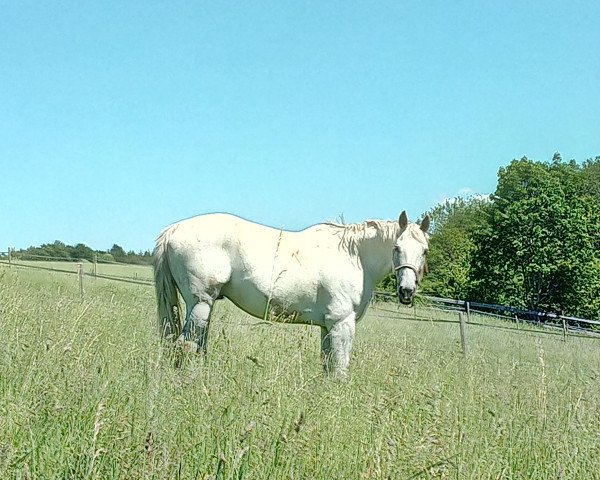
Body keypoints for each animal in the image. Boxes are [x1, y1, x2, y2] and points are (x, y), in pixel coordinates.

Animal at [152, 211, 428, 376]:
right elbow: (340, 368)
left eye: (424, 250)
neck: (354, 256)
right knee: (186, 346)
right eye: (396, 248)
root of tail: (173, 230)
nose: (406, 291)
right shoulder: (342, 323)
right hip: (200, 303)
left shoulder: (327, 326)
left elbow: (327, 365)